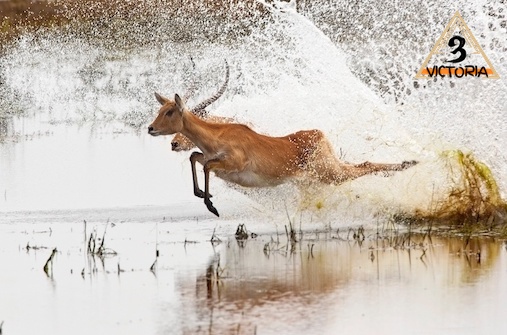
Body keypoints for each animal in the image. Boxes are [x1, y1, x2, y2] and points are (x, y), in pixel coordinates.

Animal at [147, 93, 416, 217]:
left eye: (170, 111)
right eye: (160, 109)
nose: (150, 128)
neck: (219, 134)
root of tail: (318, 134)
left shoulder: (232, 165)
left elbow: (204, 165)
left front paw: (211, 205)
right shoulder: (214, 160)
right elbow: (195, 157)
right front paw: (204, 194)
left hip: (330, 173)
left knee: (365, 165)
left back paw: (410, 163)